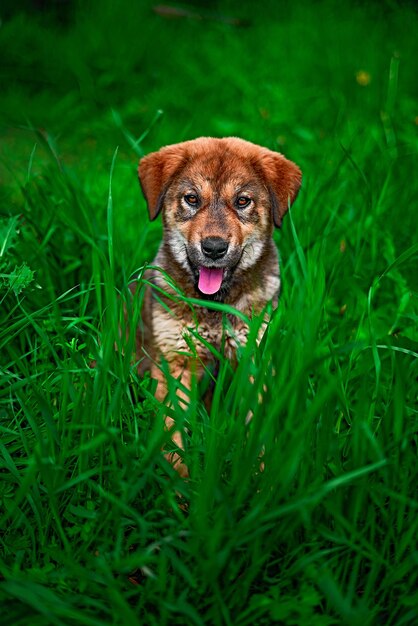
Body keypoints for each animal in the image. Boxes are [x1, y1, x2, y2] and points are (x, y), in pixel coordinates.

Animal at [131, 136, 300, 476]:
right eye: (192, 199)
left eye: (243, 201)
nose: (213, 248)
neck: (215, 308)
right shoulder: (176, 362)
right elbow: (173, 435)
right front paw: (179, 482)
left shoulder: (253, 359)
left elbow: (257, 432)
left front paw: (260, 476)